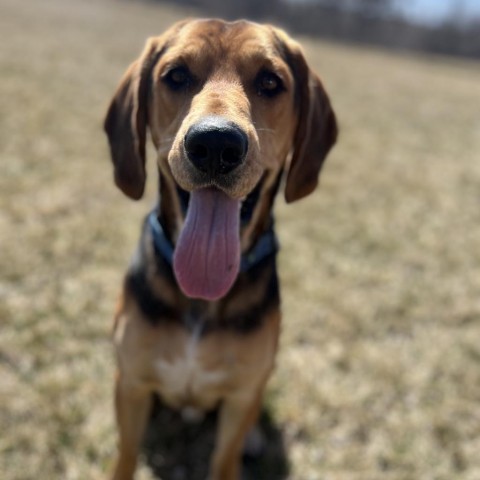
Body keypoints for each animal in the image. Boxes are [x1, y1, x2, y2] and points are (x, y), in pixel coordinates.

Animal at [105, 17, 338, 480]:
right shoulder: (132, 384)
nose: (215, 144)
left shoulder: (241, 398)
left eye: (270, 81)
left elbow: (225, 457)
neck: (203, 300)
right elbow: (126, 455)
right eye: (176, 75)